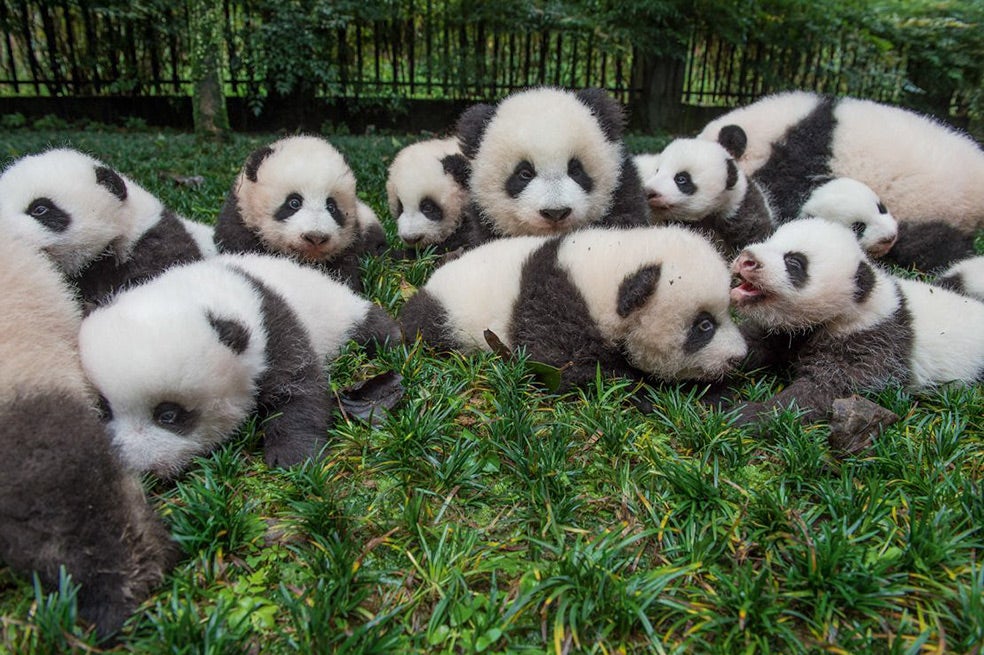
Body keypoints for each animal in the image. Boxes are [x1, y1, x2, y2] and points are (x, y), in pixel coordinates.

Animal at [78, 253, 402, 477]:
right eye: (105, 409)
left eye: (168, 415)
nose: (139, 468)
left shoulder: (273, 329)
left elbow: (298, 387)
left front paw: (293, 457)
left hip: (336, 310)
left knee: (370, 326)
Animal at [400, 225, 747, 390]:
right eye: (704, 325)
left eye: (728, 313)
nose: (739, 357)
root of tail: (430, 282)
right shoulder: (555, 310)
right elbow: (566, 368)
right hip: (447, 315)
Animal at [729, 217, 984, 424]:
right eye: (769, 239)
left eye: (794, 263)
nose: (746, 260)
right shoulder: (784, 330)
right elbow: (751, 342)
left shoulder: (873, 344)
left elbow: (825, 392)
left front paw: (746, 414)